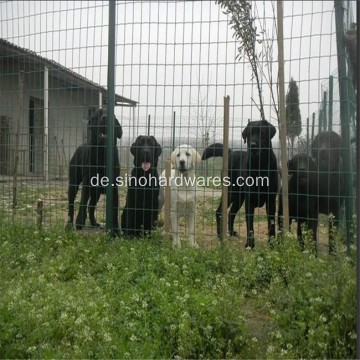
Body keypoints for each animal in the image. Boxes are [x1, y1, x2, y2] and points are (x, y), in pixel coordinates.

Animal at [242, 119, 278, 249]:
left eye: (262, 133)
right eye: (249, 134)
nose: (253, 145)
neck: (260, 166)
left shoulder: (271, 200)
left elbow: (271, 223)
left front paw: (272, 244)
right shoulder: (248, 200)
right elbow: (250, 225)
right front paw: (250, 244)